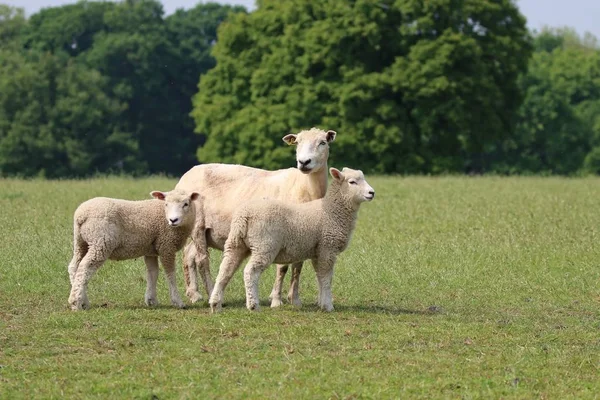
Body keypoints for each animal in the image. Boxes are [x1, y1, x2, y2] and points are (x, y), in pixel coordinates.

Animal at [66, 189, 199, 310]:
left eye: (186, 204)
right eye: (166, 204)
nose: (173, 220)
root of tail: (81, 215)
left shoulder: (151, 250)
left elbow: (152, 273)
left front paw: (151, 300)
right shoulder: (166, 246)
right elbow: (170, 274)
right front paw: (178, 301)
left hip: (81, 243)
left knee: (74, 267)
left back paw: (83, 301)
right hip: (100, 242)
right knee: (84, 267)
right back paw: (76, 303)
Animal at [176, 127, 338, 306]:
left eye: (323, 142)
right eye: (297, 143)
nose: (304, 162)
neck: (302, 186)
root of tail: (186, 175)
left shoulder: (304, 234)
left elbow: (298, 265)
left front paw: (294, 299)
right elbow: (283, 267)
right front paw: (276, 300)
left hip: (201, 230)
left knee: (188, 255)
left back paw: (194, 294)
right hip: (198, 224)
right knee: (202, 260)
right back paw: (212, 293)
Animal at [209, 167, 372, 314]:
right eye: (352, 182)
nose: (372, 193)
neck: (333, 210)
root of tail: (244, 215)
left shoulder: (318, 251)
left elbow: (320, 277)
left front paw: (321, 303)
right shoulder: (328, 248)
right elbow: (327, 278)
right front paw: (328, 306)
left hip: (236, 244)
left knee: (224, 271)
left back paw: (215, 304)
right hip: (264, 245)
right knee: (250, 272)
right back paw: (253, 305)